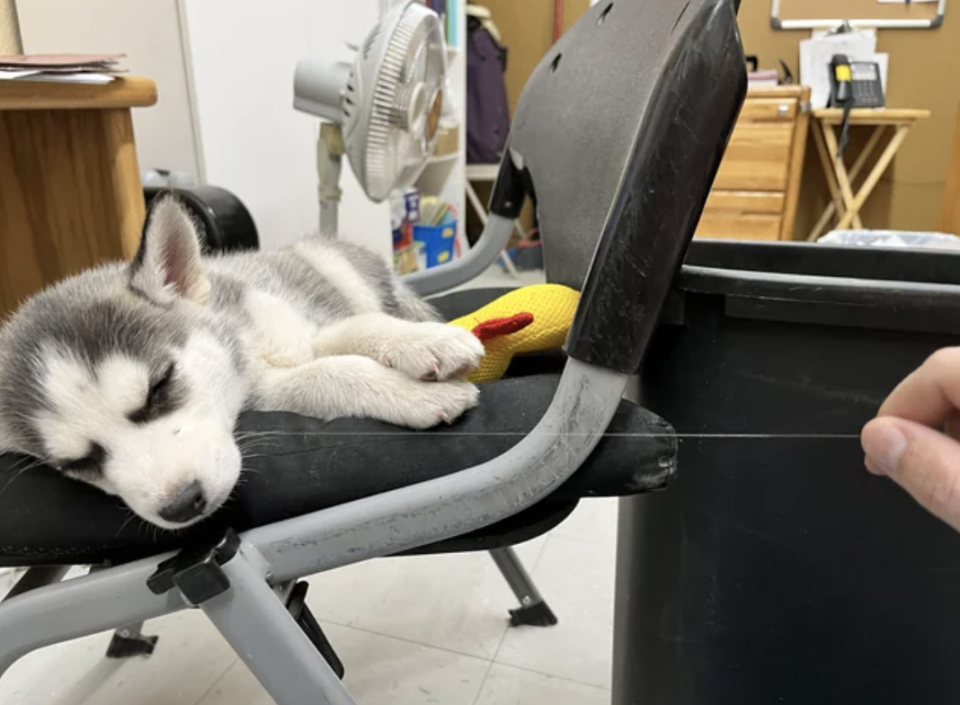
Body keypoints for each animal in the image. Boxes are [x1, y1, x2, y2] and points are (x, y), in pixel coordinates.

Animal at [0, 198, 484, 528]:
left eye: (160, 387)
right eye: (76, 465)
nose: (182, 505)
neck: (248, 352)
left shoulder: (304, 330)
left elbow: (360, 327)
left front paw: (427, 342)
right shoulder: (270, 391)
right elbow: (329, 374)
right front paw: (414, 393)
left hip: (328, 263)